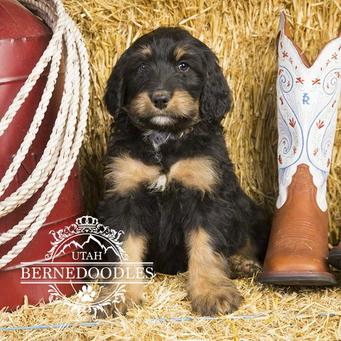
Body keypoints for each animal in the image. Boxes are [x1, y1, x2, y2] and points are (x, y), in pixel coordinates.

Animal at [95, 27, 268, 316]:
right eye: (142, 67)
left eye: (183, 66)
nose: (160, 98)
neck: (164, 139)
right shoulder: (125, 197)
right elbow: (125, 251)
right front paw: (119, 296)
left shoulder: (205, 195)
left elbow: (205, 247)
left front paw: (211, 292)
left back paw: (243, 263)